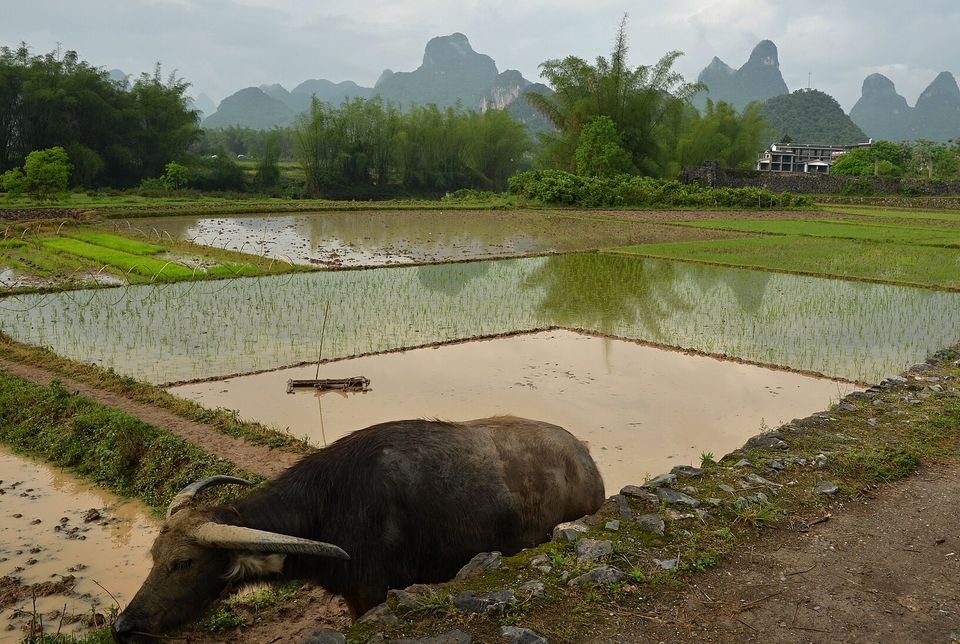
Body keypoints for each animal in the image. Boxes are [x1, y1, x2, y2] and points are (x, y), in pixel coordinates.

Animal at [111, 416, 604, 642]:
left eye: (183, 563)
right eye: (153, 557)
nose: (123, 626)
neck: (329, 508)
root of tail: (586, 461)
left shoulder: (371, 593)